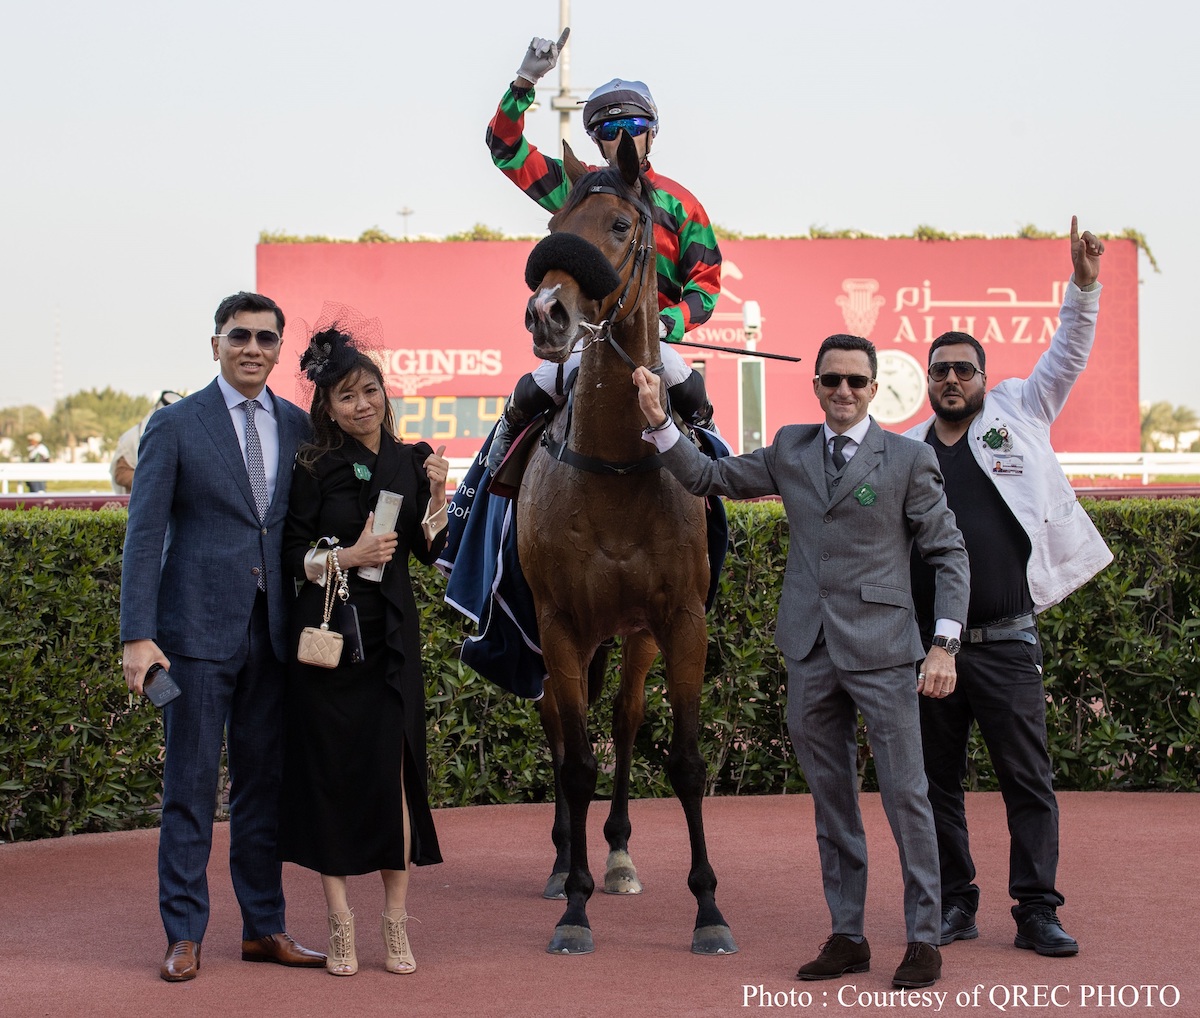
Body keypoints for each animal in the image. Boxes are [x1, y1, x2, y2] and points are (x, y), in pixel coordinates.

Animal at [513, 133, 729, 955]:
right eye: (555, 225)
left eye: (619, 225)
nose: (547, 312)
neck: (613, 467)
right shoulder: (558, 622)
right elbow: (574, 764)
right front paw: (574, 908)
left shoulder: (682, 619)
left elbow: (687, 761)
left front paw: (709, 912)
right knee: (558, 724)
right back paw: (561, 862)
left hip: (635, 632)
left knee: (627, 721)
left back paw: (617, 854)